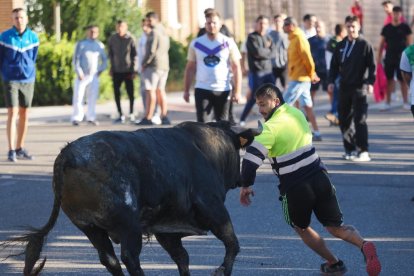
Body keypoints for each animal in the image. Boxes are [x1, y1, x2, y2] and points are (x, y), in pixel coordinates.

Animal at [0, 121, 258, 276]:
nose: (242, 179)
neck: (208, 148)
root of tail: (67, 154)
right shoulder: (212, 207)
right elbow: (232, 243)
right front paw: (221, 270)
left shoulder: (167, 229)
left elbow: (182, 257)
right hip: (128, 223)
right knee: (129, 256)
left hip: (88, 226)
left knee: (109, 258)